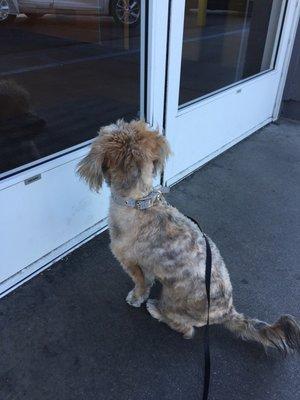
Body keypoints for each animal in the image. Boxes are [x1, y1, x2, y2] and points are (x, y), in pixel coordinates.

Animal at [78, 119, 300, 354]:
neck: (139, 202)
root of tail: (227, 311)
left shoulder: (129, 261)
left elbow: (140, 283)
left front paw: (137, 297)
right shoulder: (147, 264)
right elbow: (147, 279)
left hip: (172, 300)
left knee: (186, 329)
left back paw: (157, 310)